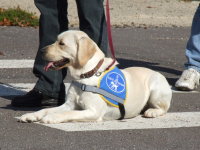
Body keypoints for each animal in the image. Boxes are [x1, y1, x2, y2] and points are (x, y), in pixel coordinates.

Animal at [19, 30, 172, 123]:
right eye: (56, 41)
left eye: (62, 43)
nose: (41, 51)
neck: (85, 76)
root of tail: (158, 73)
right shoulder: (69, 104)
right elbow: (45, 109)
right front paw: (30, 115)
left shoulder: (93, 111)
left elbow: (68, 114)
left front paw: (52, 117)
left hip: (155, 89)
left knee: (164, 108)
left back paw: (152, 111)